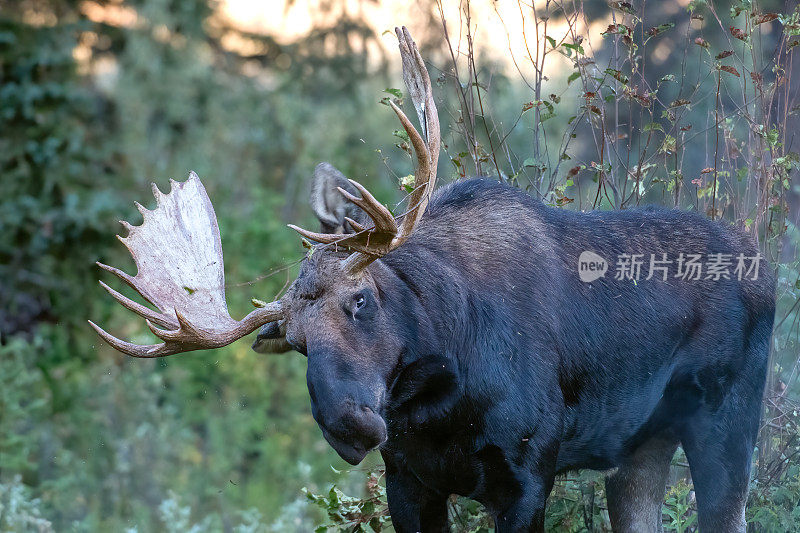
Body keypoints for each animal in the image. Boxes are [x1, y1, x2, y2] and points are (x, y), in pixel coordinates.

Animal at [89, 28, 776, 532]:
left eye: (360, 299)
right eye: (296, 343)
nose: (349, 424)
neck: (444, 395)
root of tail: (765, 264)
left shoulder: (529, 474)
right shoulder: (411, 483)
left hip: (727, 424)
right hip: (641, 448)